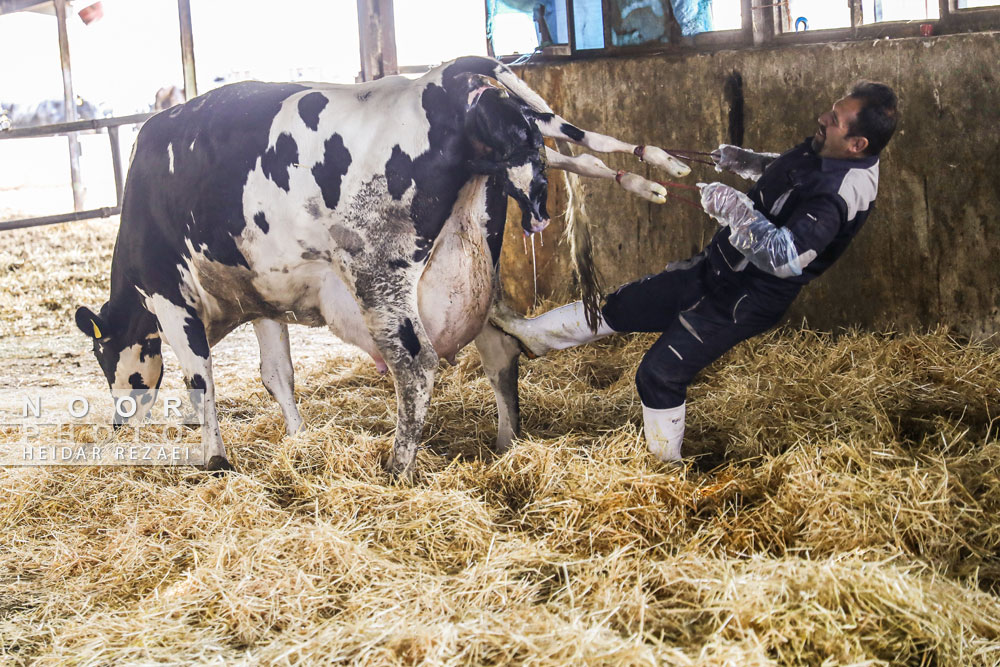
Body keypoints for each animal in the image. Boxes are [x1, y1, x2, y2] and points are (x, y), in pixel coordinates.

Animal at [76, 56, 688, 474]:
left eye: (105, 358)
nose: (119, 420)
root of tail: (444, 81)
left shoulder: (168, 293)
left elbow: (201, 377)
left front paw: (215, 460)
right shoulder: (263, 295)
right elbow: (277, 375)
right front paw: (298, 438)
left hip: (380, 278)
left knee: (415, 368)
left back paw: (397, 467)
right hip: (473, 273)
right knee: (500, 351)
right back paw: (506, 444)